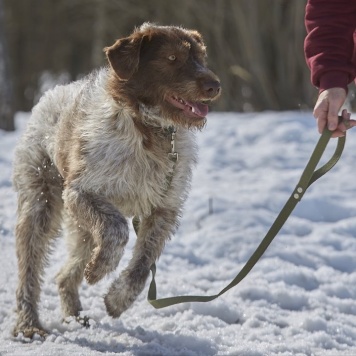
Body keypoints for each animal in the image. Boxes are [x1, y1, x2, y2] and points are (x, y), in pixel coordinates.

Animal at [12, 23, 220, 338]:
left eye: (201, 57)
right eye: (172, 58)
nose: (214, 85)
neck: (150, 128)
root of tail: (53, 92)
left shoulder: (164, 210)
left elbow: (142, 267)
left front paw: (117, 300)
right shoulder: (81, 192)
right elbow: (117, 230)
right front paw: (99, 269)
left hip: (81, 228)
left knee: (63, 275)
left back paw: (75, 315)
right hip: (42, 205)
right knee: (30, 269)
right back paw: (29, 324)